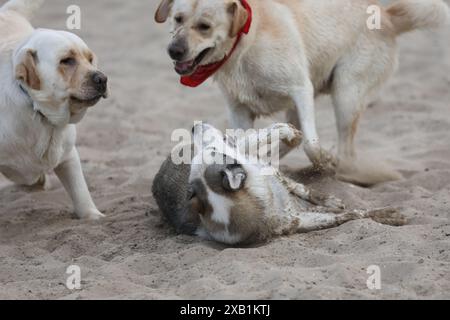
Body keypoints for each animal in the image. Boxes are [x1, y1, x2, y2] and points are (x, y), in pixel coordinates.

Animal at [0, 0, 108, 219]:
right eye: (66, 61)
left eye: (90, 59)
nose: (102, 79)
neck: (39, 112)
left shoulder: (68, 155)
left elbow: (80, 191)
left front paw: (93, 217)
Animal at [156, 0, 450, 185]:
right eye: (178, 19)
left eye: (204, 26)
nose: (173, 50)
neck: (244, 44)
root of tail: (386, 15)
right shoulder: (239, 111)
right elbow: (244, 145)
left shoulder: (300, 89)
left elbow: (311, 145)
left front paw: (324, 161)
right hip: (306, 106)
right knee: (292, 139)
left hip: (346, 94)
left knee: (345, 153)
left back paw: (342, 170)